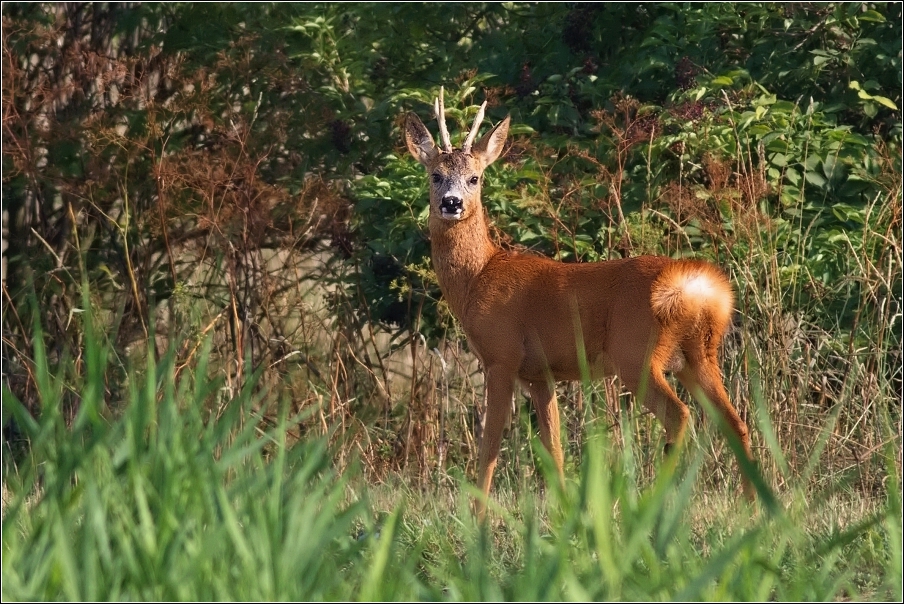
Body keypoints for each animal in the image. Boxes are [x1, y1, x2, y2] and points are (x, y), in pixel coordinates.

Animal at [404, 89, 756, 520]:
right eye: (435, 175)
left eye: (475, 177)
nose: (451, 203)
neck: (479, 275)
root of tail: (700, 287)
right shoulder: (540, 374)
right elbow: (553, 448)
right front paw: (566, 512)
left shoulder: (501, 356)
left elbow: (490, 446)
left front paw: (477, 516)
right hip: (698, 356)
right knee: (736, 422)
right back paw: (754, 507)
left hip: (635, 354)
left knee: (681, 416)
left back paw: (656, 503)